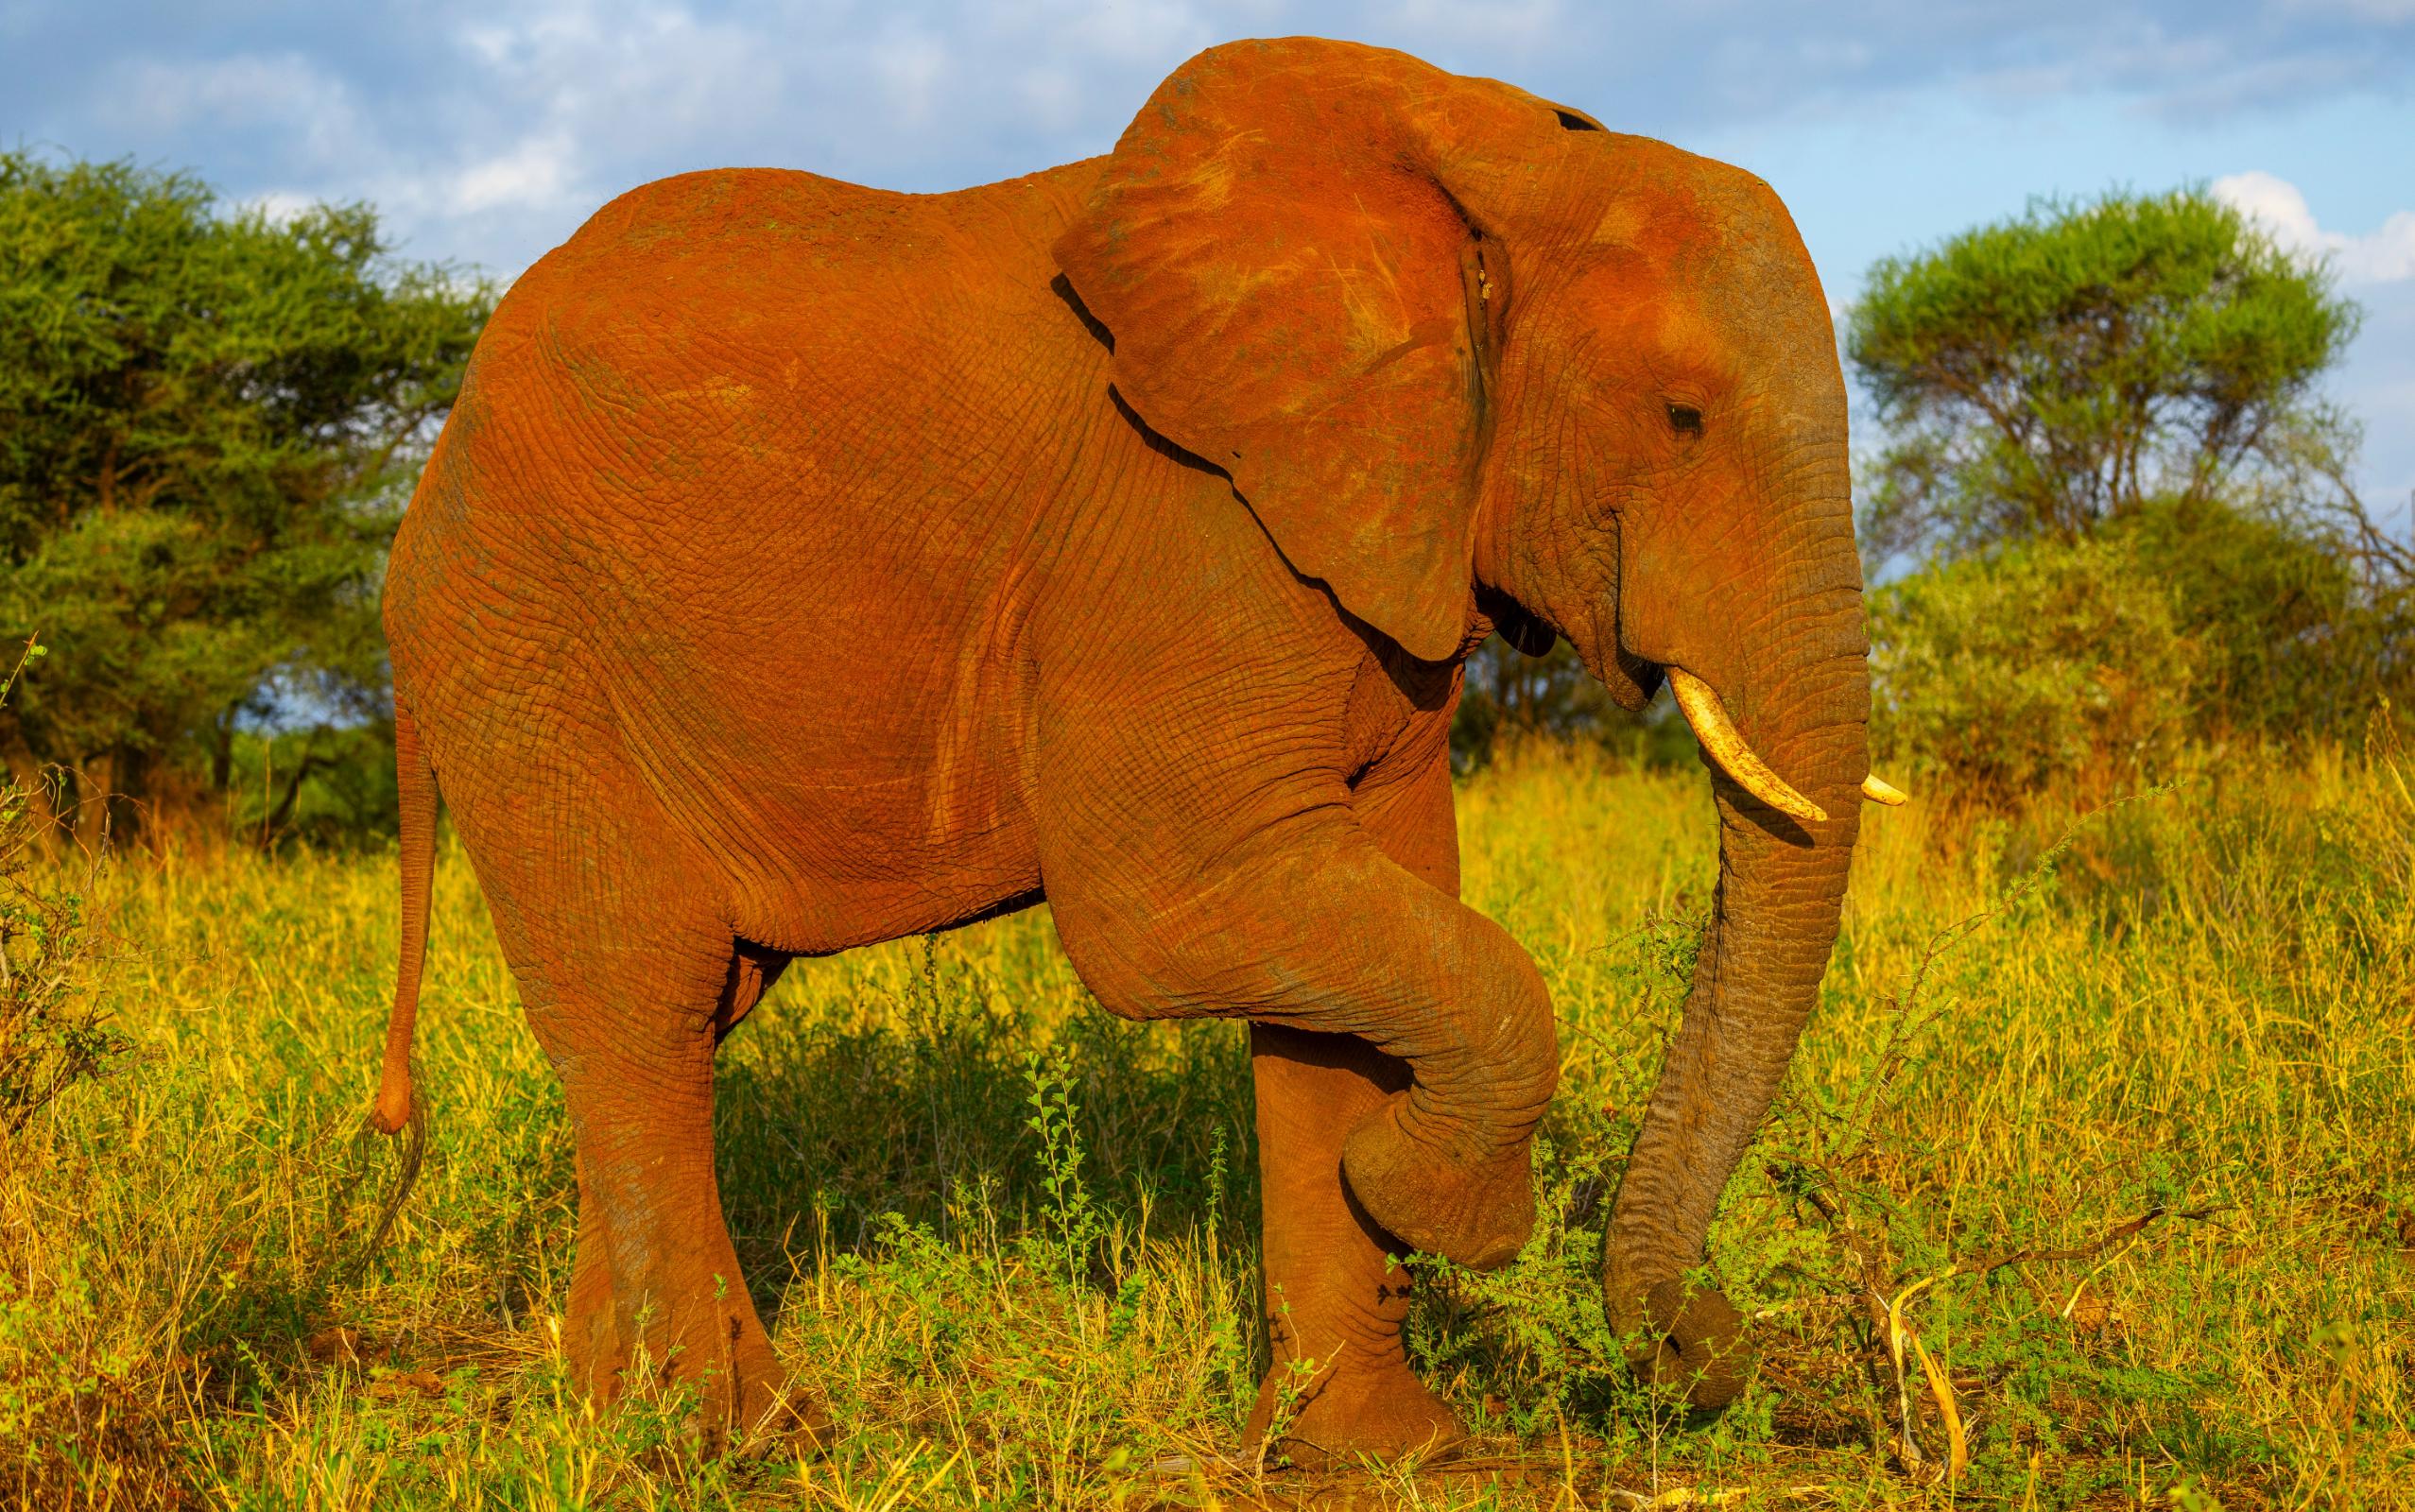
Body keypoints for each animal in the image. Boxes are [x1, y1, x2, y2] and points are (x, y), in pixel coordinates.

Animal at [364, 35, 1903, 1465]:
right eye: (1682, 418)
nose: (1703, 1346)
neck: (1491, 162)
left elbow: (1356, 958)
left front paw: (1380, 1448)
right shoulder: (1188, 529)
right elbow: (1171, 912)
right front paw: (1437, 1203)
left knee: (680, 1019)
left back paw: (606, 1413)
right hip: (521, 642)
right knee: (644, 994)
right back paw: (740, 1435)